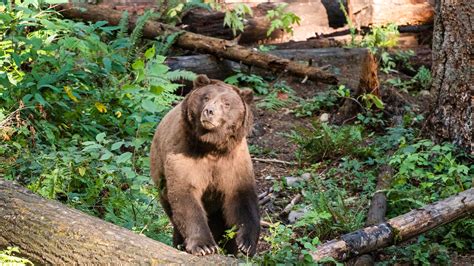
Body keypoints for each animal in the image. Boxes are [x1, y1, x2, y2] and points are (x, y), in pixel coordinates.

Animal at [151, 74, 260, 256]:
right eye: (206, 97)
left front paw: (246, 244)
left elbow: (242, 197)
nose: (209, 111)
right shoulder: (184, 154)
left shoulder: (234, 162)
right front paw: (204, 246)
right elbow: (185, 194)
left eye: (226, 103)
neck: (211, 146)